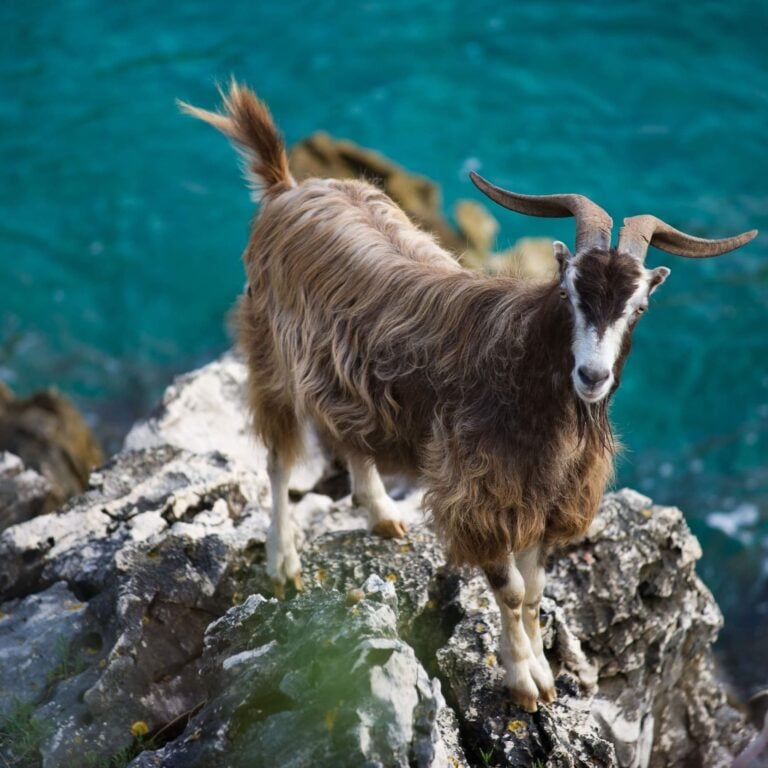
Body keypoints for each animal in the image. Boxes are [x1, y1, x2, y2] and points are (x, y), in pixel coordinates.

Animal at [180, 82, 757, 712]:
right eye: (569, 292)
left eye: (639, 307)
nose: (592, 376)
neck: (524, 377)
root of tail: (287, 188)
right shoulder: (480, 493)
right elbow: (509, 590)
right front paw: (524, 680)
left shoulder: (548, 499)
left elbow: (535, 589)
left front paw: (544, 669)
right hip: (271, 354)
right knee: (280, 456)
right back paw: (284, 561)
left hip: (342, 377)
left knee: (348, 435)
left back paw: (381, 514)